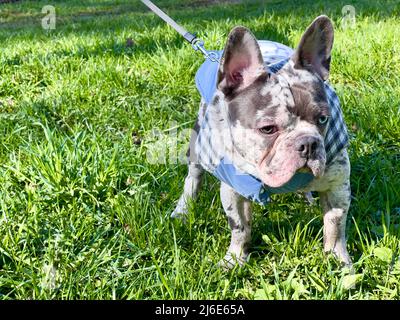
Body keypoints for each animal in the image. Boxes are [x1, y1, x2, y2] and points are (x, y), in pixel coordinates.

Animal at [170, 16, 352, 268]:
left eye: (323, 119)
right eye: (267, 129)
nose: (308, 144)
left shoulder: (338, 187)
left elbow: (335, 227)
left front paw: (339, 261)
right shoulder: (233, 190)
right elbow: (239, 227)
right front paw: (235, 259)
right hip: (198, 147)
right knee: (193, 178)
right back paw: (183, 210)